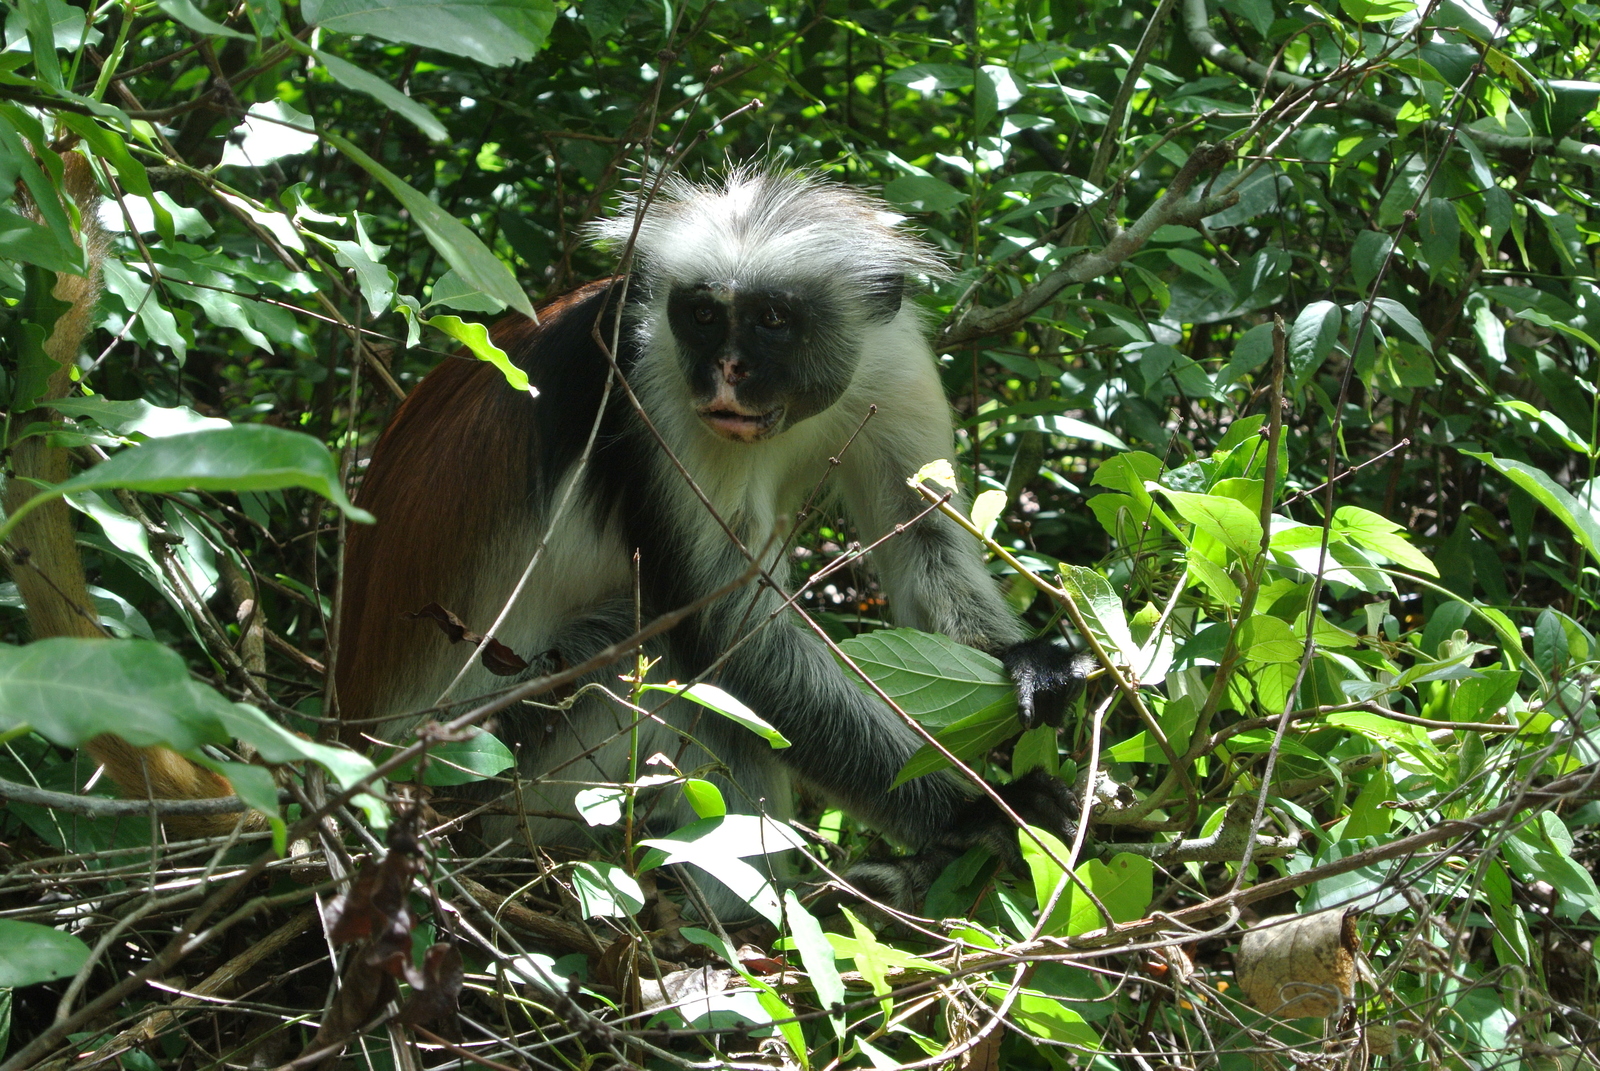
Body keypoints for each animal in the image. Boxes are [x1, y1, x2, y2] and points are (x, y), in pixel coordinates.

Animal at [337, 171, 1088, 909]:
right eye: (702, 316)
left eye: (773, 319)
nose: (726, 368)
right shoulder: (651, 383)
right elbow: (733, 633)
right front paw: (977, 813)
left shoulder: (891, 360)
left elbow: (925, 540)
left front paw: (1032, 663)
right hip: (502, 767)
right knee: (668, 654)